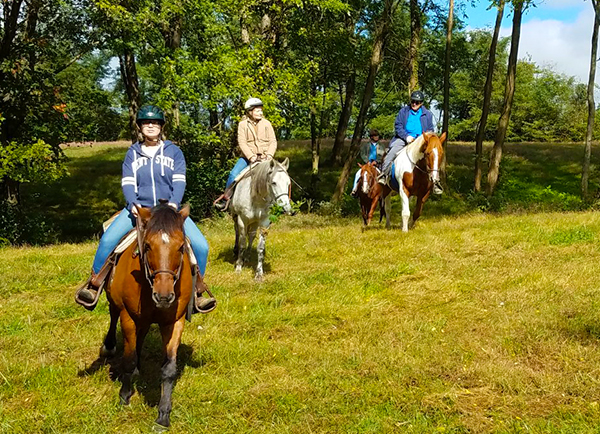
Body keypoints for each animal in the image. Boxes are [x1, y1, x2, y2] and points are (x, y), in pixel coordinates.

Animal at [98, 203, 192, 428]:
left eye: (181, 247)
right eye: (148, 246)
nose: (164, 296)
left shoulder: (175, 321)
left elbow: (169, 368)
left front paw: (163, 415)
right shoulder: (128, 317)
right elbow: (128, 359)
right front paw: (124, 396)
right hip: (115, 302)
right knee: (113, 316)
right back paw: (109, 346)